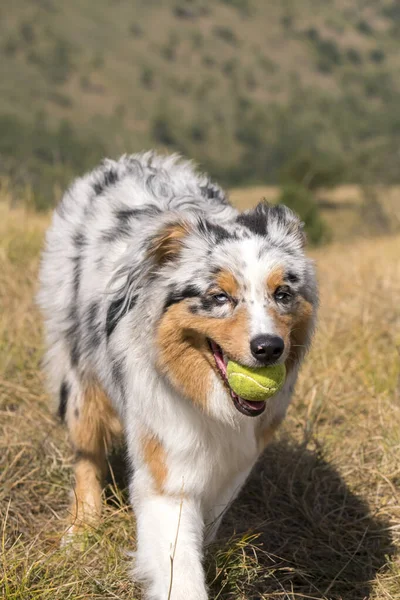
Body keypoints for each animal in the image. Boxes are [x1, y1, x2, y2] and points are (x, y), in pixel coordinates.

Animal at [38, 152, 318, 600]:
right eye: (219, 297)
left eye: (282, 294)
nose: (269, 347)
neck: (213, 405)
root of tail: (130, 161)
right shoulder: (167, 462)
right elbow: (178, 562)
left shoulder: (235, 461)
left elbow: (209, 521)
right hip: (79, 372)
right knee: (87, 455)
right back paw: (80, 531)